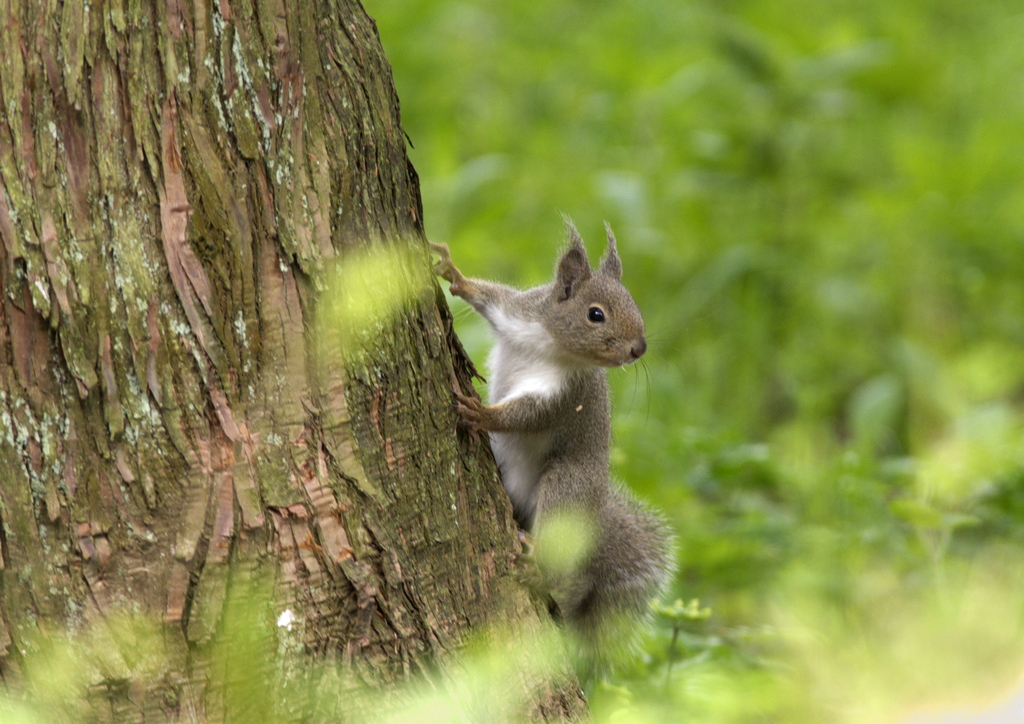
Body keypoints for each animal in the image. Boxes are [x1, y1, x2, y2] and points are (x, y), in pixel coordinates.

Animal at [430, 218, 671, 675]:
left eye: (635, 306)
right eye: (596, 314)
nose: (640, 349)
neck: (551, 343)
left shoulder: (562, 395)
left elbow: (527, 415)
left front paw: (483, 414)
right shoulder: (518, 314)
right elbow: (489, 296)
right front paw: (455, 274)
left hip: (566, 487)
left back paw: (539, 574)